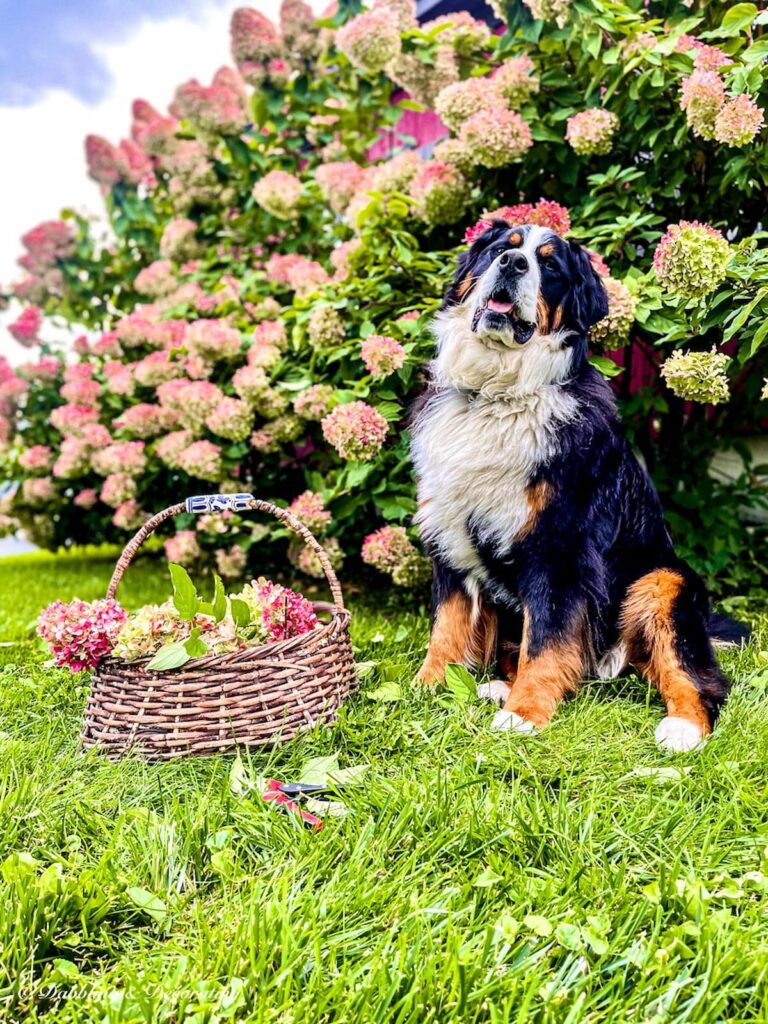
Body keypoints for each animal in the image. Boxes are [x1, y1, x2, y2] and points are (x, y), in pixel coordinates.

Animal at [415, 220, 745, 757]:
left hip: (662, 582)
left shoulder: (560, 548)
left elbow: (547, 638)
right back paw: (497, 685)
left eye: (549, 266)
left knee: (698, 677)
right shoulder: (451, 536)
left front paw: (524, 715)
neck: (497, 395)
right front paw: (426, 687)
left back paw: (683, 728)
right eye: (500, 249)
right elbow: (448, 626)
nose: (513, 265)